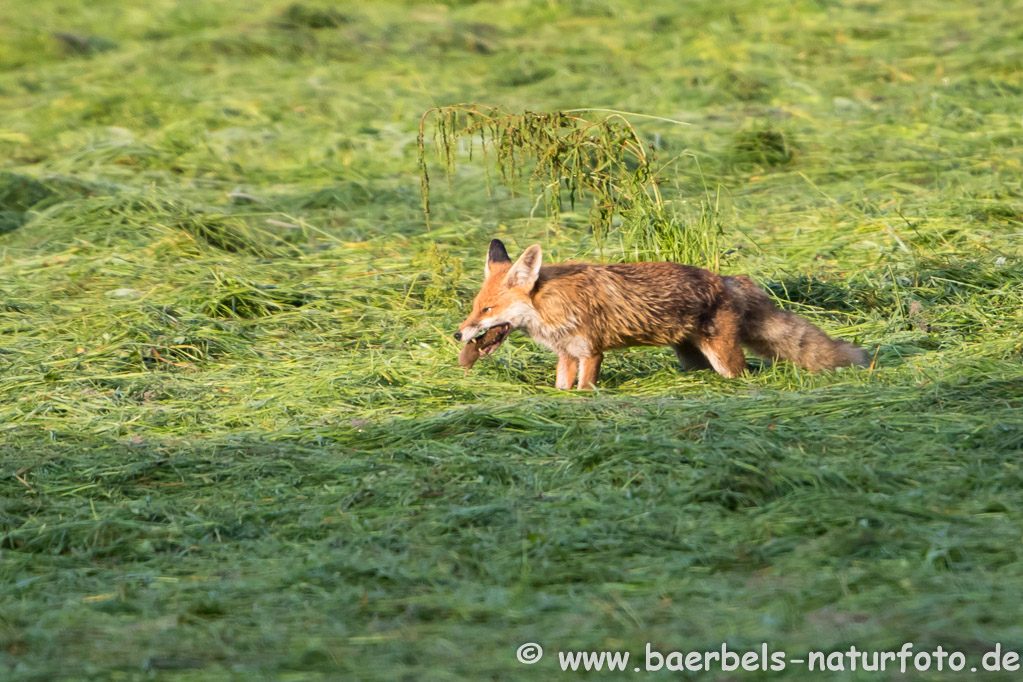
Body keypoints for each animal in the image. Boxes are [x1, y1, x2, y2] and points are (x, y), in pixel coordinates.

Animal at [456, 240, 863, 388]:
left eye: (488, 309)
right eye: (475, 307)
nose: (459, 334)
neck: (550, 306)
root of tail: (729, 280)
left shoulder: (591, 351)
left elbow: (586, 388)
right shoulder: (567, 355)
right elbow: (562, 387)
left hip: (724, 359)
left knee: (745, 373)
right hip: (689, 357)